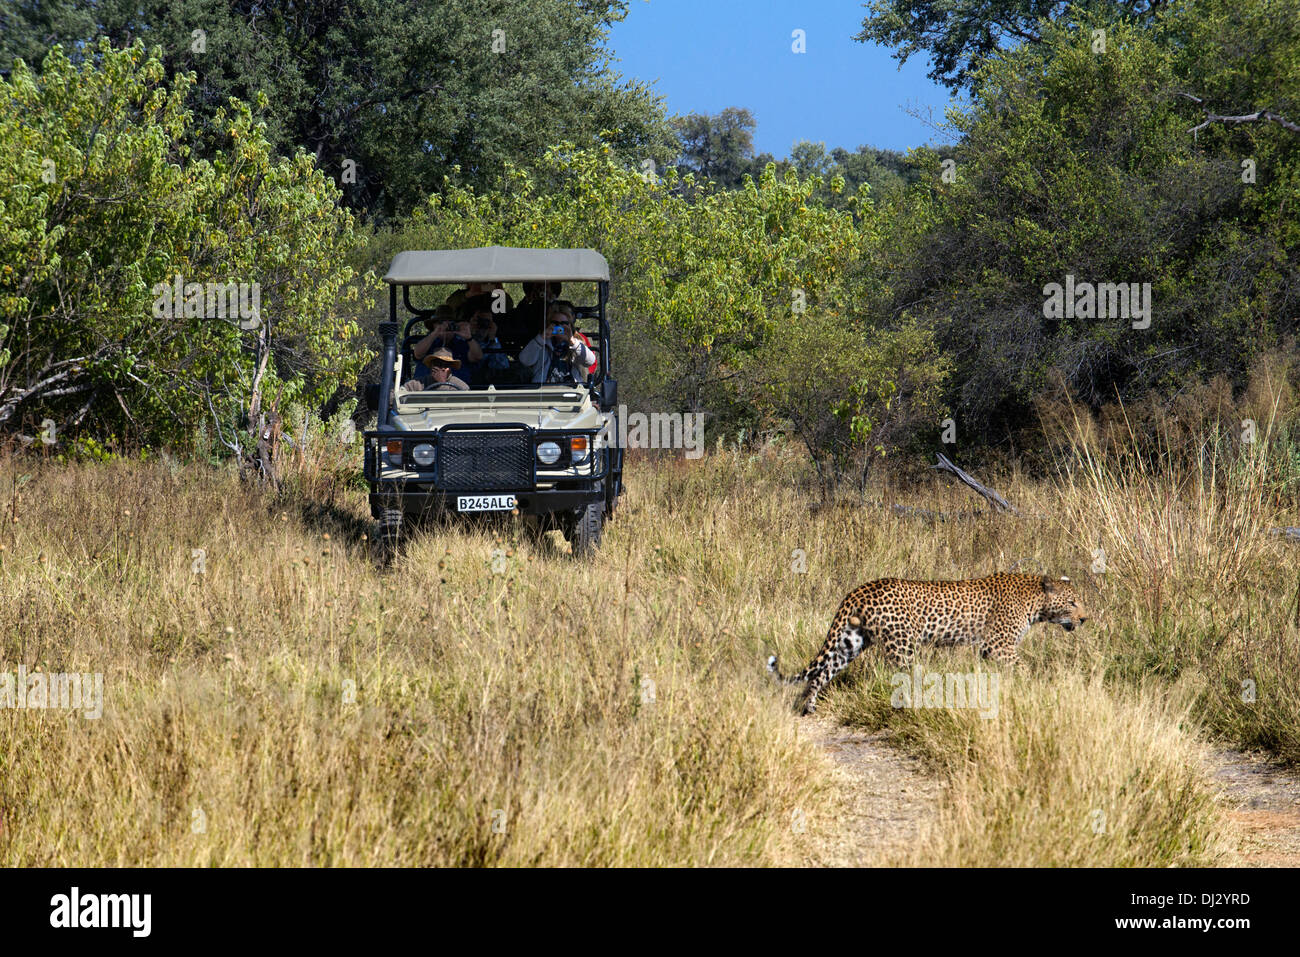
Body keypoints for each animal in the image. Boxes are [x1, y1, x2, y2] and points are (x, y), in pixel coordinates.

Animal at [767, 572, 1089, 714]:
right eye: (1073, 602)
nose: (1085, 618)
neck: (1036, 603)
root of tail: (860, 589)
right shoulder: (999, 645)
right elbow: (1024, 668)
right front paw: (1037, 686)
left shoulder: (989, 650)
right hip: (902, 644)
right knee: (902, 677)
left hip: (851, 641)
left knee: (822, 672)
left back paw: (808, 706)